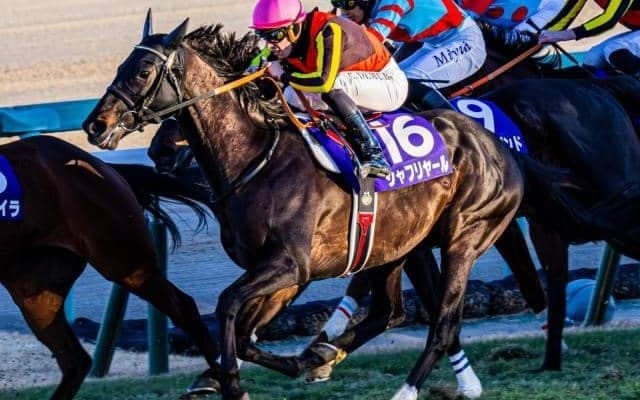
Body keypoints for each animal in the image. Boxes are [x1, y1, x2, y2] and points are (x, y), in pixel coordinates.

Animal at [83, 16, 527, 399]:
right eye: (121, 65)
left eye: (142, 70)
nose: (95, 126)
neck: (255, 159)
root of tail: (495, 145)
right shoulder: (285, 273)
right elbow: (243, 336)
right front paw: (285, 364)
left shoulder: (290, 265)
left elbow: (227, 305)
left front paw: (233, 384)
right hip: (399, 247)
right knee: (389, 312)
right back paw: (327, 353)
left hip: (463, 239)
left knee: (443, 323)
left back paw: (407, 389)